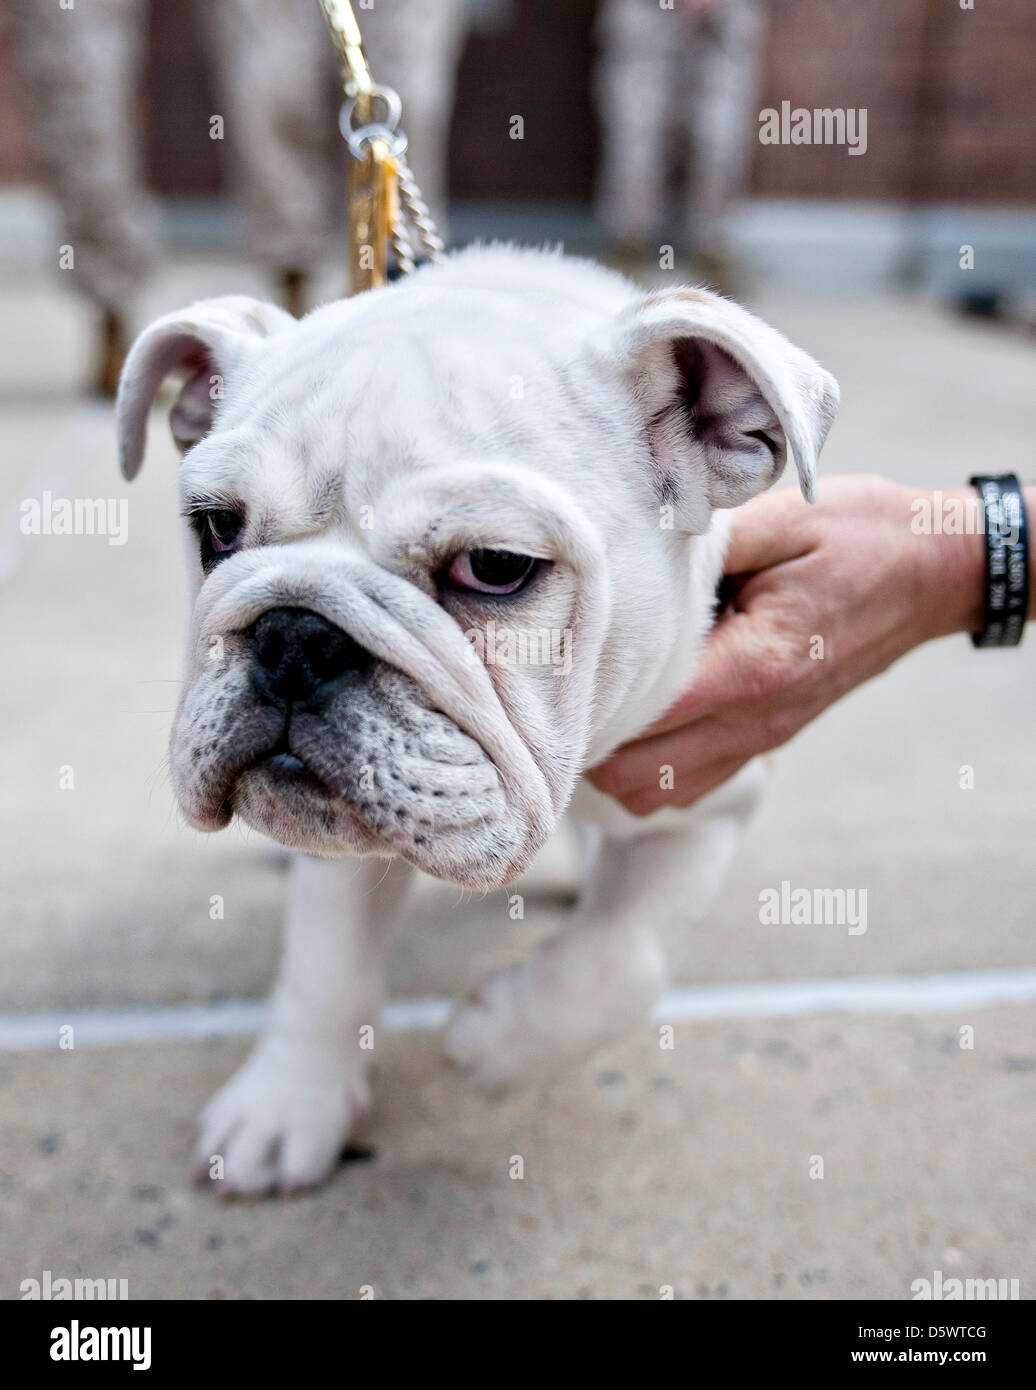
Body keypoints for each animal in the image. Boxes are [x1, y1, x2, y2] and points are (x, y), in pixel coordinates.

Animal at [117, 241, 834, 1195]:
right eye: (218, 529)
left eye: (495, 566)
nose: (295, 635)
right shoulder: (338, 835)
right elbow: (324, 962)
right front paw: (286, 1102)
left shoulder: (707, 799)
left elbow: (620, 963)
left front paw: (496, 1044)